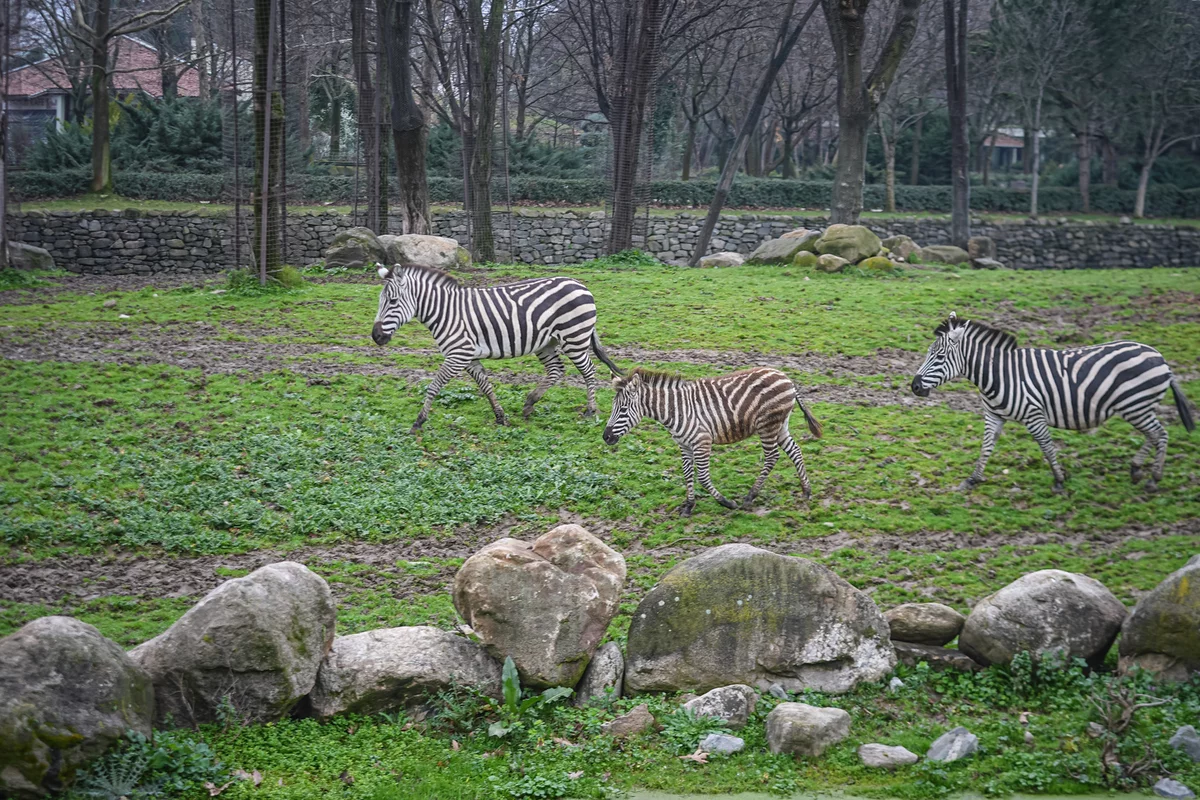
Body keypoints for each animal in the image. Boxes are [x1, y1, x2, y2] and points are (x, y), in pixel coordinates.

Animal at [371, 264, 623, 432]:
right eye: (380, 301)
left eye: (392, 301)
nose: (376, 336)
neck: (445, 312)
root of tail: (580, 284)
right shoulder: (469, 357)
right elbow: (486, 386)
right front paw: (500, 416)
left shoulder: (458, 354)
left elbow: (434, 386)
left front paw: (419, 420)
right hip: (547, 342)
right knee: (556, 370)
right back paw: (529, 403)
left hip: (574, 337)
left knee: (589, 371)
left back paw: (591, 410)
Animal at [602, 367, 823, 515]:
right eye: (613, 407)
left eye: (623, 409)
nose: (606, 437)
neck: (675, 410)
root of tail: (786, 377)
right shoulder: (684, 445)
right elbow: (687, 474)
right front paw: (689, 506)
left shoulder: (702, 441)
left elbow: (702, 477)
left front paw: (727, 503)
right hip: (780, 425)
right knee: (795, 450)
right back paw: (806, 491)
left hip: (767, 425)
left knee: (772, 457)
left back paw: (750, 497)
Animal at [911, 312, 1195, 492]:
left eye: (938, 356)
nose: (914, 386)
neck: (999, 374)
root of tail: (1160, 357)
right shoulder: (994, 415)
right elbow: (986, 447)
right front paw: (972, 479)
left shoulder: (1033, 414)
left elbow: (1046, 446)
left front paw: (1059, 480)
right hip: (1137, 407)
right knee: (1153, 435)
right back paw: (1137, 469)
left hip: (1136, 405)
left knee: (1160, 434)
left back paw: (1154, 478)